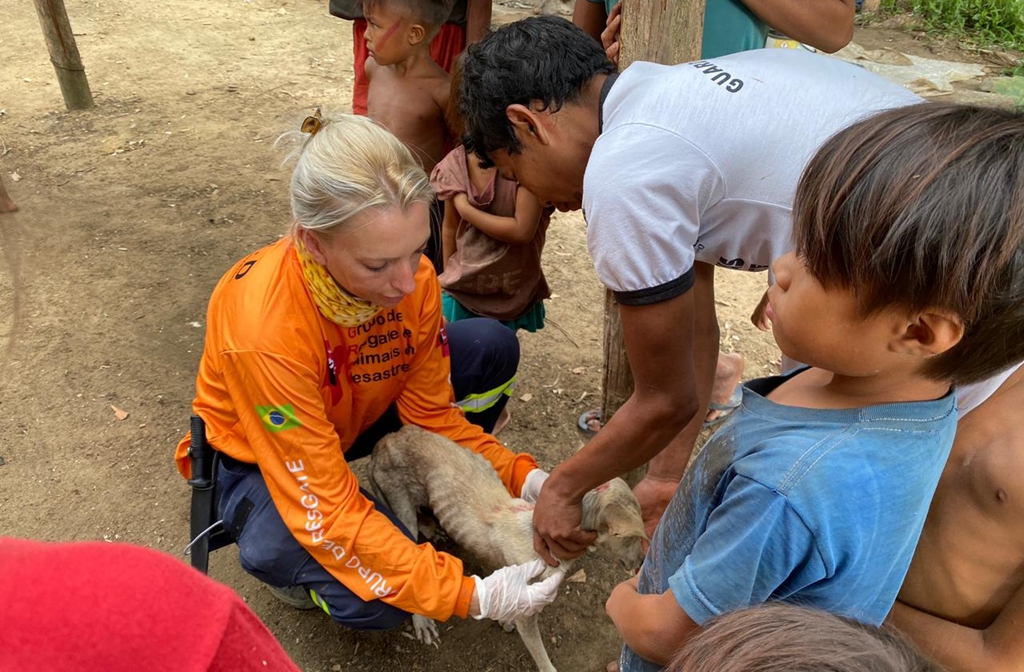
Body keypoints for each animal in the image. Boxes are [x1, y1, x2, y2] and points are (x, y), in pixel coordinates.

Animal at [368, 424, 646, 672]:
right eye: (633, 538)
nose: (643, 561)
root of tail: (386, 440)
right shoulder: (528, 608)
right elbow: (542, 658)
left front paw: (502, 615)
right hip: (400, 504)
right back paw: (421, 619)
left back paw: (432, 528)